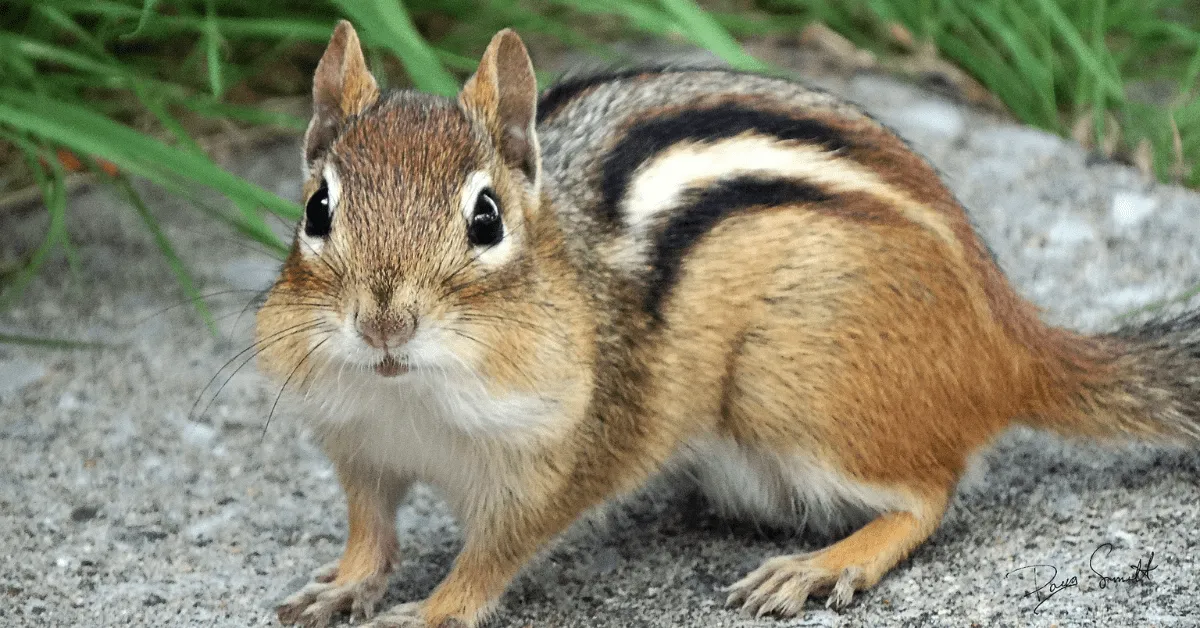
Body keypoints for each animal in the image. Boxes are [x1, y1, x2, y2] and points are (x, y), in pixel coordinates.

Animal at [255, 20, 1200, 628]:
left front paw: (429, 610)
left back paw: (825, 563)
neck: (409, 398)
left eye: (485, 220)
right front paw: (341, 587)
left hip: (788, 388)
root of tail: (1009, 337)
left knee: (931, 491)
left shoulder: (559, 458)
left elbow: (491, 556)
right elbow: (370, 530)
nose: (383, 322)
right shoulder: (359, 444)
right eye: (316, 209)